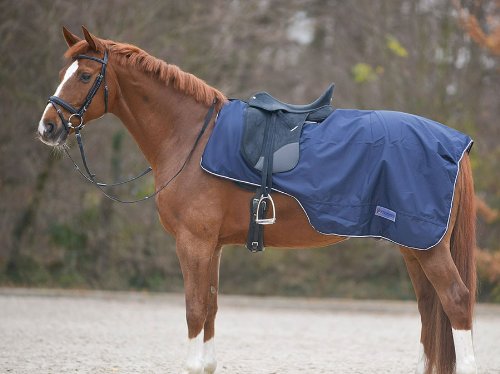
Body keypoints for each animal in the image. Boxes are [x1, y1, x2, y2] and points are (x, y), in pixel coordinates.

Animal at [38, 27, 476, 374]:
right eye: (62, 74)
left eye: (86, 75)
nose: (47, 127)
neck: (190, 137)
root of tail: (453, 144)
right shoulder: (212, 247)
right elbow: (211, 311)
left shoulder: (193, 244)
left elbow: (195, 311)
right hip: (412, 246)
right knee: (428, 308)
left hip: (428, 248)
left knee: (455, 303)